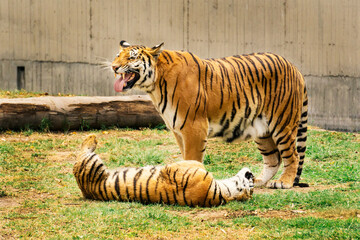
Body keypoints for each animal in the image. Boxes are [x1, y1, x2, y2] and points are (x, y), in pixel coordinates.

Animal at [73, 134, 253, 207]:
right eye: (252, 183)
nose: (252, 174)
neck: (224, 192)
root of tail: (85, 192)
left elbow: (193, 163)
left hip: (91, 164)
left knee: (81, 154)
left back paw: (91, 138)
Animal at [111, 42, 308, 190]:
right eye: (117, 56)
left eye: (131, 57)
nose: (114, 67)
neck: (155, 85)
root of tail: (294, 67)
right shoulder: (178, 130)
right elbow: (186, 156)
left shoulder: (193, 126)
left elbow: (193, 158)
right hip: (261, 129)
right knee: (273, 159)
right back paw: (258, 181)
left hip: (282, 123)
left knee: (292, 155)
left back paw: (284, 182)